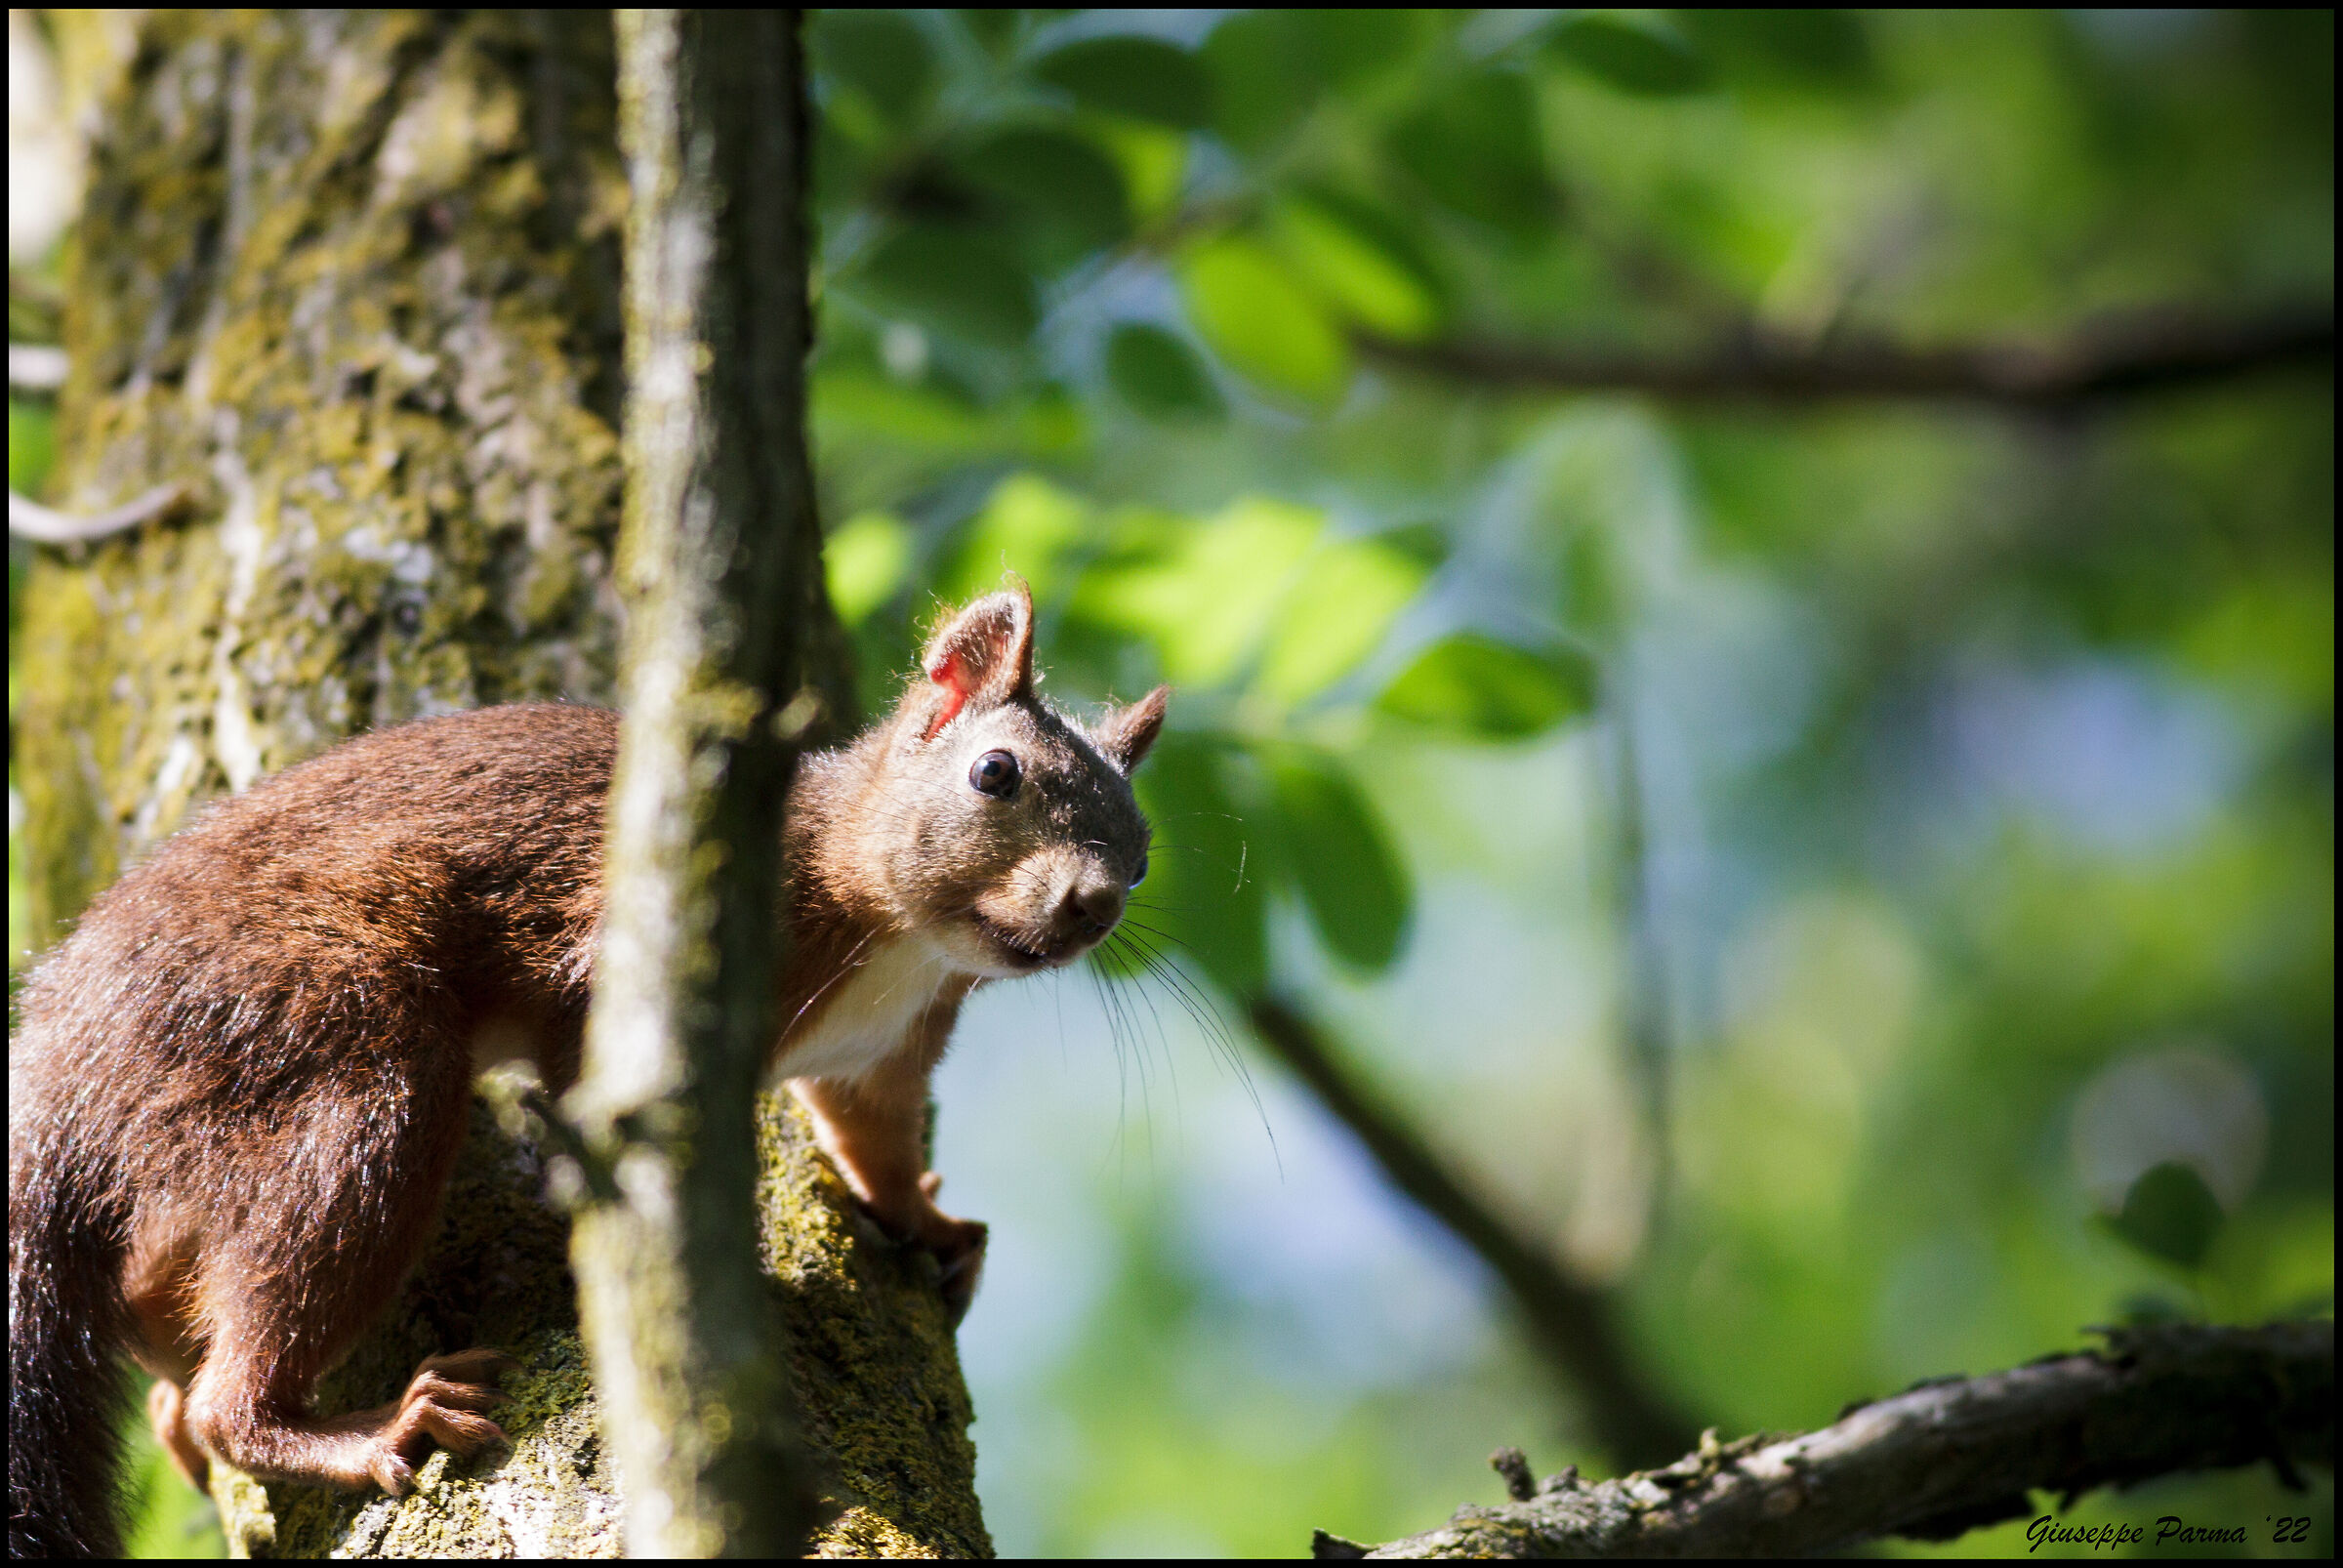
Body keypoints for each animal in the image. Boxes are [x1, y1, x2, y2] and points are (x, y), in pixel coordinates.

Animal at [8, 585, 1166, 1559]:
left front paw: (928, 1223)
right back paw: (355, 1430)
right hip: (329, 1045)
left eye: (1144, 849)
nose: (1092, 904)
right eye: (994, 772)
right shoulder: (630, 958)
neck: (899, 937)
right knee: (247, 1354)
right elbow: (592, 1079)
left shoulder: (886, 1048)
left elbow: (866, 1129)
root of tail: (70, 1055)